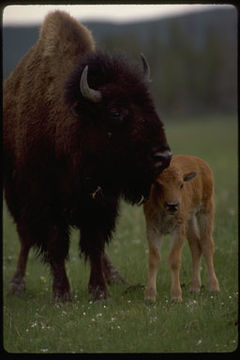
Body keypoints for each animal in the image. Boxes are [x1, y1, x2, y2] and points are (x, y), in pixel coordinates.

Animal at [3, 11, 172, 302]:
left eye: (150, 104)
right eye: (116, 112)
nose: (164, 156)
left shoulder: (100, 201)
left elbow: (94, 243)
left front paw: (100, 290)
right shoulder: (44, 201)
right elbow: (56, 244)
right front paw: (61, 294)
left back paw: (114, 276)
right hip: (15, 198)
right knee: (25, 238)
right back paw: (17, 285)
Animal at [143, 155, 220, 304]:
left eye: (181, 185)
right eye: (159, 184)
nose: (172, 205)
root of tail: (201, 162)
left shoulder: (178, 230)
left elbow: (174, 260)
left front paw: (176, 296)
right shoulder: (153, 230)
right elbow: (154, 260)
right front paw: (150, 296)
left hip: (206, 210)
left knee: (207, 244)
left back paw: (214, 287)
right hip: (189, 220)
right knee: (196, 245)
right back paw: (194, 287)